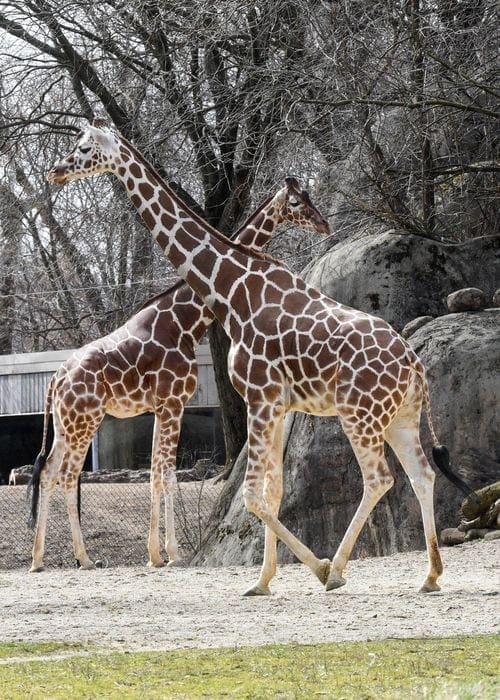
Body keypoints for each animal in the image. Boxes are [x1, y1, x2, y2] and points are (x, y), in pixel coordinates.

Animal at [29, 176, 330, 576]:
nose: (324, 224)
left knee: (48, 472)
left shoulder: (162, 407)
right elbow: (167, 475)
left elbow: (156, 474)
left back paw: (38, 559)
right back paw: (84, 558)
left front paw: (155, 554)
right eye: (296, 203)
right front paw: (171, 553)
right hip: (85, 421)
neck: (186, 322)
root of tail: (56, 378)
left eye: (310, 197)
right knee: (65, 475)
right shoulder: (174, 402)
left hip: (66, 424)